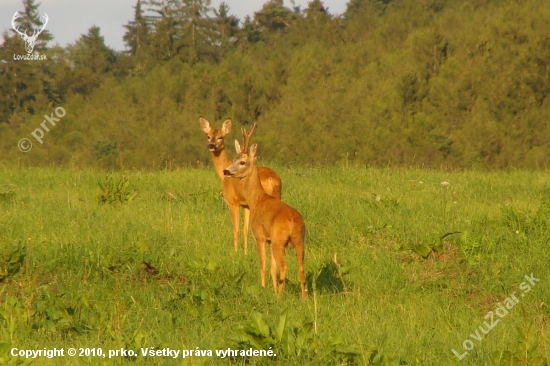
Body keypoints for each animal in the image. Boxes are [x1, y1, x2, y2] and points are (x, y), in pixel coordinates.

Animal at [199, 117, 284, 254]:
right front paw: (245, 252)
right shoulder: (246, 205)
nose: (211, 145)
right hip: (277, 196)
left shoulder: (232, 201)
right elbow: (245, 229)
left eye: (221, 137)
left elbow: (236, 228)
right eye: (208, 136)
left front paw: (236, 252)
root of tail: (271, 179)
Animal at [225, 142, 310, 298]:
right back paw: (304, 298)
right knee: (301, 267)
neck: (257, 199)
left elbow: (263, 264)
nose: (226, 170)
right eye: (234, 158)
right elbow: (272, 267)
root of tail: (292, 221)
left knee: (284, 266)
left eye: (242, 162)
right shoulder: (269, 240)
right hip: (299, 240)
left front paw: (263, 289)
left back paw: (280, 296)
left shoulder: (260, 236)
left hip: (279, 241)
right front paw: (272, 289)